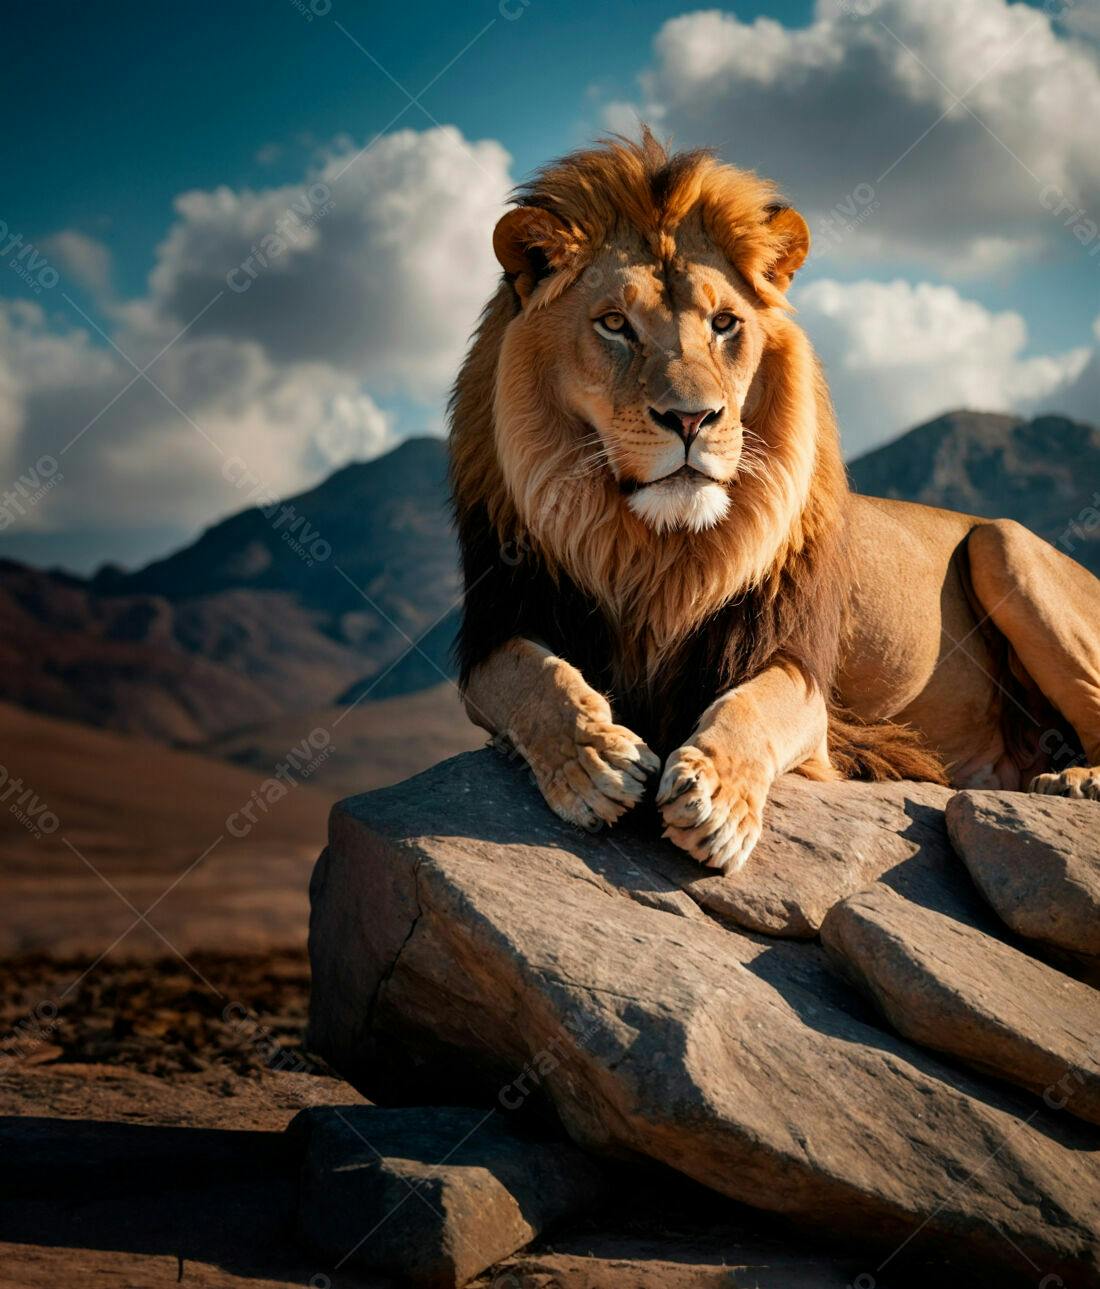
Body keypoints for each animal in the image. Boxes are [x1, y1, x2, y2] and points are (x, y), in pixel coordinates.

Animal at [449, 130, 1100, 874]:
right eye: (614, 324)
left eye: (724, 323)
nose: (692, 418)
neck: (654, 549)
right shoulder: (495, 626)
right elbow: (534, 677)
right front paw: (595, 759)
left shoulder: (793, 665)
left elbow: (752, 707)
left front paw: (715, 797)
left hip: (1002, 540)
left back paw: (1076, 780)